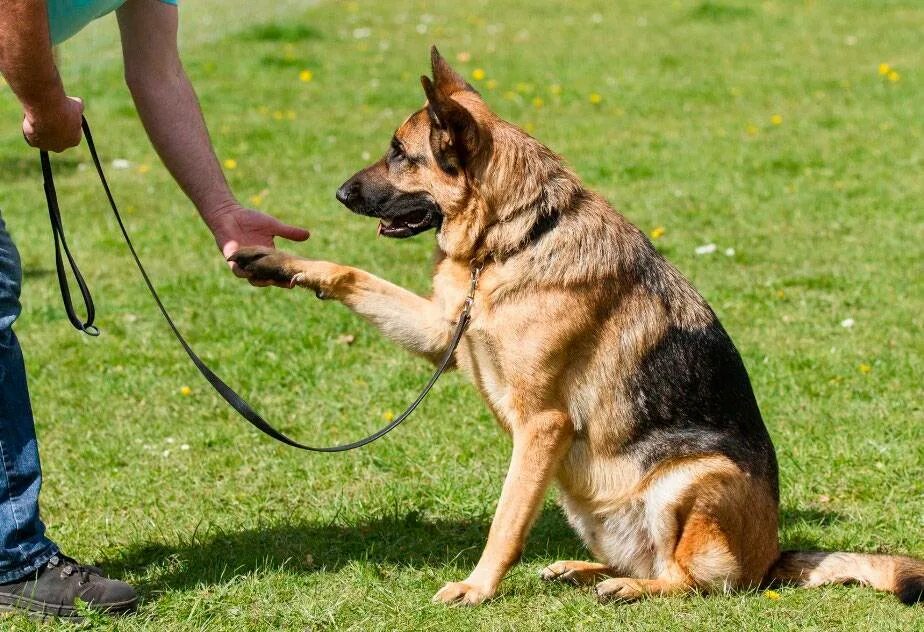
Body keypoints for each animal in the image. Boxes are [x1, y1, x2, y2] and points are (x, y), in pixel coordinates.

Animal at [233, 48, 924, 604]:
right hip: (584, 499)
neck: (512, 240)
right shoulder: (441, 332)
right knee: (648, 562)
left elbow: (506, 520)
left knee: (693, 582)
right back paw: (584, 570)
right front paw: (276, 263)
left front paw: (478, 588)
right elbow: (350, 274)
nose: (340, 192)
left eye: (400, 154)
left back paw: (629, 588)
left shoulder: (542, 425)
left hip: (693, 479)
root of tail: (773, 556)